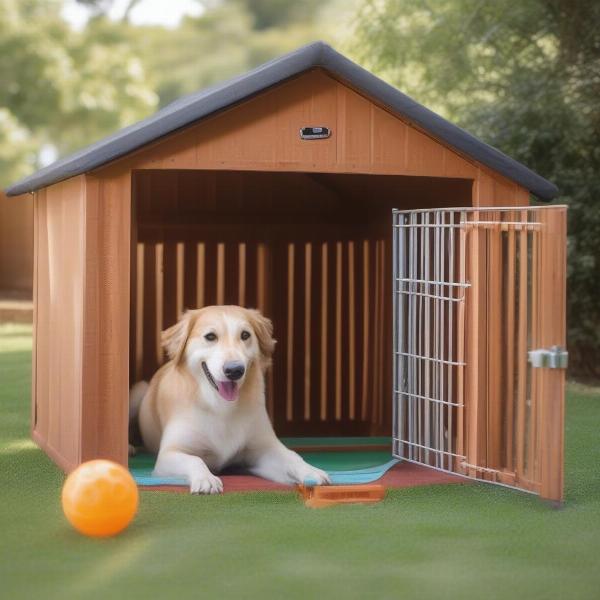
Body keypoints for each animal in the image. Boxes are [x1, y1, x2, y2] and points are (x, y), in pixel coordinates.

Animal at [130, 304, 332, 492]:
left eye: (245, 335)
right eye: (210, 336)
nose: (234, 370)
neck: (220, 406)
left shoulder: (262, 450)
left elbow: (291, 456)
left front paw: (311, 471)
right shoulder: (169, 454)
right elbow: (195, 460)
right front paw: (206, 479)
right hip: (139, 390)